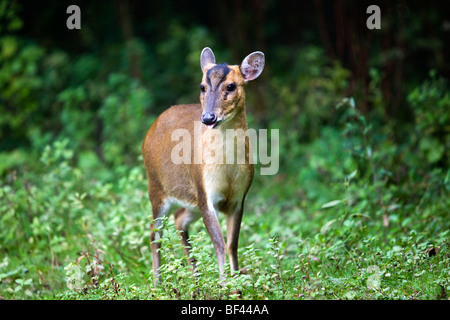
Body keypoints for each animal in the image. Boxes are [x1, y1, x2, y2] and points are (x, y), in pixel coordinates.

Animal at [142, 46, 266, 284]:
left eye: (231, 86)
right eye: (202, 86)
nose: (208, 118)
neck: (227, 172)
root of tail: (151, 128)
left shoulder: (238, 198)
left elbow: (232, 244)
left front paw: (237, 282)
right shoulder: (205, 192)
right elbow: (219, 244)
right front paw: (225, 285)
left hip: (190, 200)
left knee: (179, 219)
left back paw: (196, 278)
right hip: (156, 186)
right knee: (154, 230)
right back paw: (157, 283)